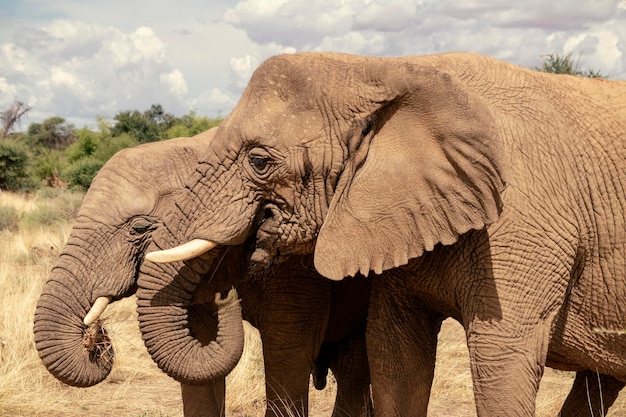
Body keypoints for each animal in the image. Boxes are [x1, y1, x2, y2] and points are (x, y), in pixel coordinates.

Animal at [144, 52, 624, 416]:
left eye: (259, 161)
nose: (223, 294)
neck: (389, 71)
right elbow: (395, 354)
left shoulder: (525, 225)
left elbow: (502, 359)